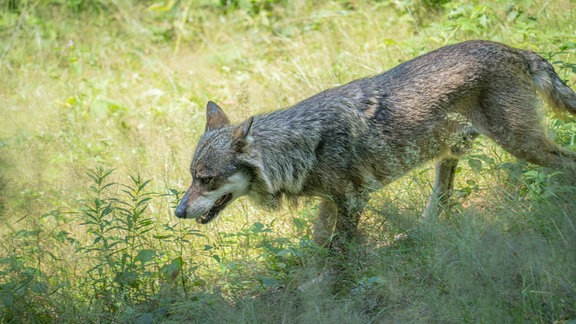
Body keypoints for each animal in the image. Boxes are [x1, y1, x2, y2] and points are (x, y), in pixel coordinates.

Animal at [176, 40, 576, 248]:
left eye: (207, 180)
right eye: (192, 177)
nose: (178, 212)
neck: (301, 148)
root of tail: (516, 50)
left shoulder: (353, 200)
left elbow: (338, 252)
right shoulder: (331, 202)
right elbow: (320, 240)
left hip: (523, 145)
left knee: (569, 163)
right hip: (448, 157)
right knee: (440, 203)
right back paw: (415, 233)